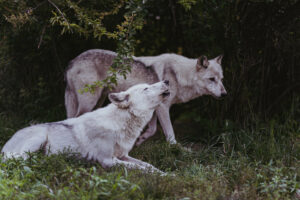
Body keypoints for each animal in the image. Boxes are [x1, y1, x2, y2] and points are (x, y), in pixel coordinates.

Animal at [1, 82, 171, 174]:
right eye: (146, 88)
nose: (167, 81)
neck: (119, 125)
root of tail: (4, 146)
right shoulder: (108, 161)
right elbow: (139, 168)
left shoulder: (123, 155)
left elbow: (149, 166)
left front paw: (168, 175)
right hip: (38, 137)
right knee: (22, 160)